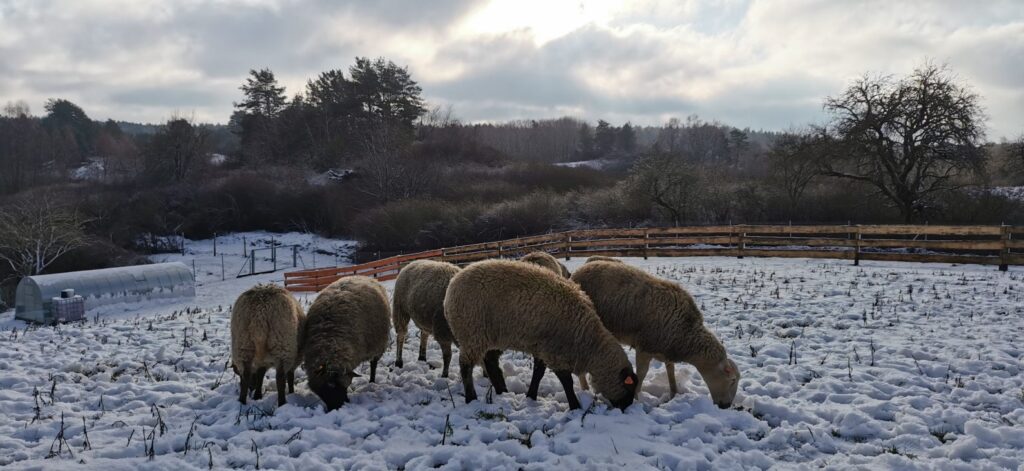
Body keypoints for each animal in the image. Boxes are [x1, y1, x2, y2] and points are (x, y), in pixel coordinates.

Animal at [301, 274, 389, 409]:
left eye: (342, 387)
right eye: (329, 387)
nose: (338, 407)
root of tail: (360, 275)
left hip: (378, 343)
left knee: (373, 364)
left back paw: (372, 381)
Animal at [444, 259, 634, 409]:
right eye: (629, 389)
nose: (625, 408)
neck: (586, 339)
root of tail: (452, 286)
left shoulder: (542, 346)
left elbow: (538, 373)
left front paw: (531, 396)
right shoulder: (554, 351)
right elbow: (566, 381)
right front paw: (575, 406)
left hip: (491, 335)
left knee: (490, 363)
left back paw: (502, 391)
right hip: (472, 333)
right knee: (466, 366)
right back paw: (471, 398)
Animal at [569, 261, 745, 407]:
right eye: (732, 380)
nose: (726, 406)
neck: (686, 332)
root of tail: (580, 269)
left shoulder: (667, 347)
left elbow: (671, 371)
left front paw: (674, 394)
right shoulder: (645, 347)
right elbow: (641, 373)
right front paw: (637, 398)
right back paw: (585, 389)